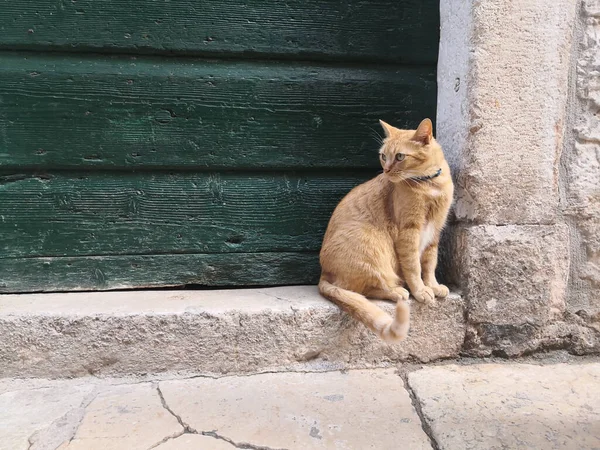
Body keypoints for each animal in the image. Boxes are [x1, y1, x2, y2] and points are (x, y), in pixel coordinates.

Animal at [318, 118, 450, 342]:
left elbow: (429, 264)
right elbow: (414, 267)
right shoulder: (409, 233)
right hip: (374, 246)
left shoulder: (435, 232)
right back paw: (397, 292)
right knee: (364, 289)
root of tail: (323, 273)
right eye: (383, 156)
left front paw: (432, 285)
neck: (431, 185)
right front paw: (420, 290)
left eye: (399, 156)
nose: (386, 170)